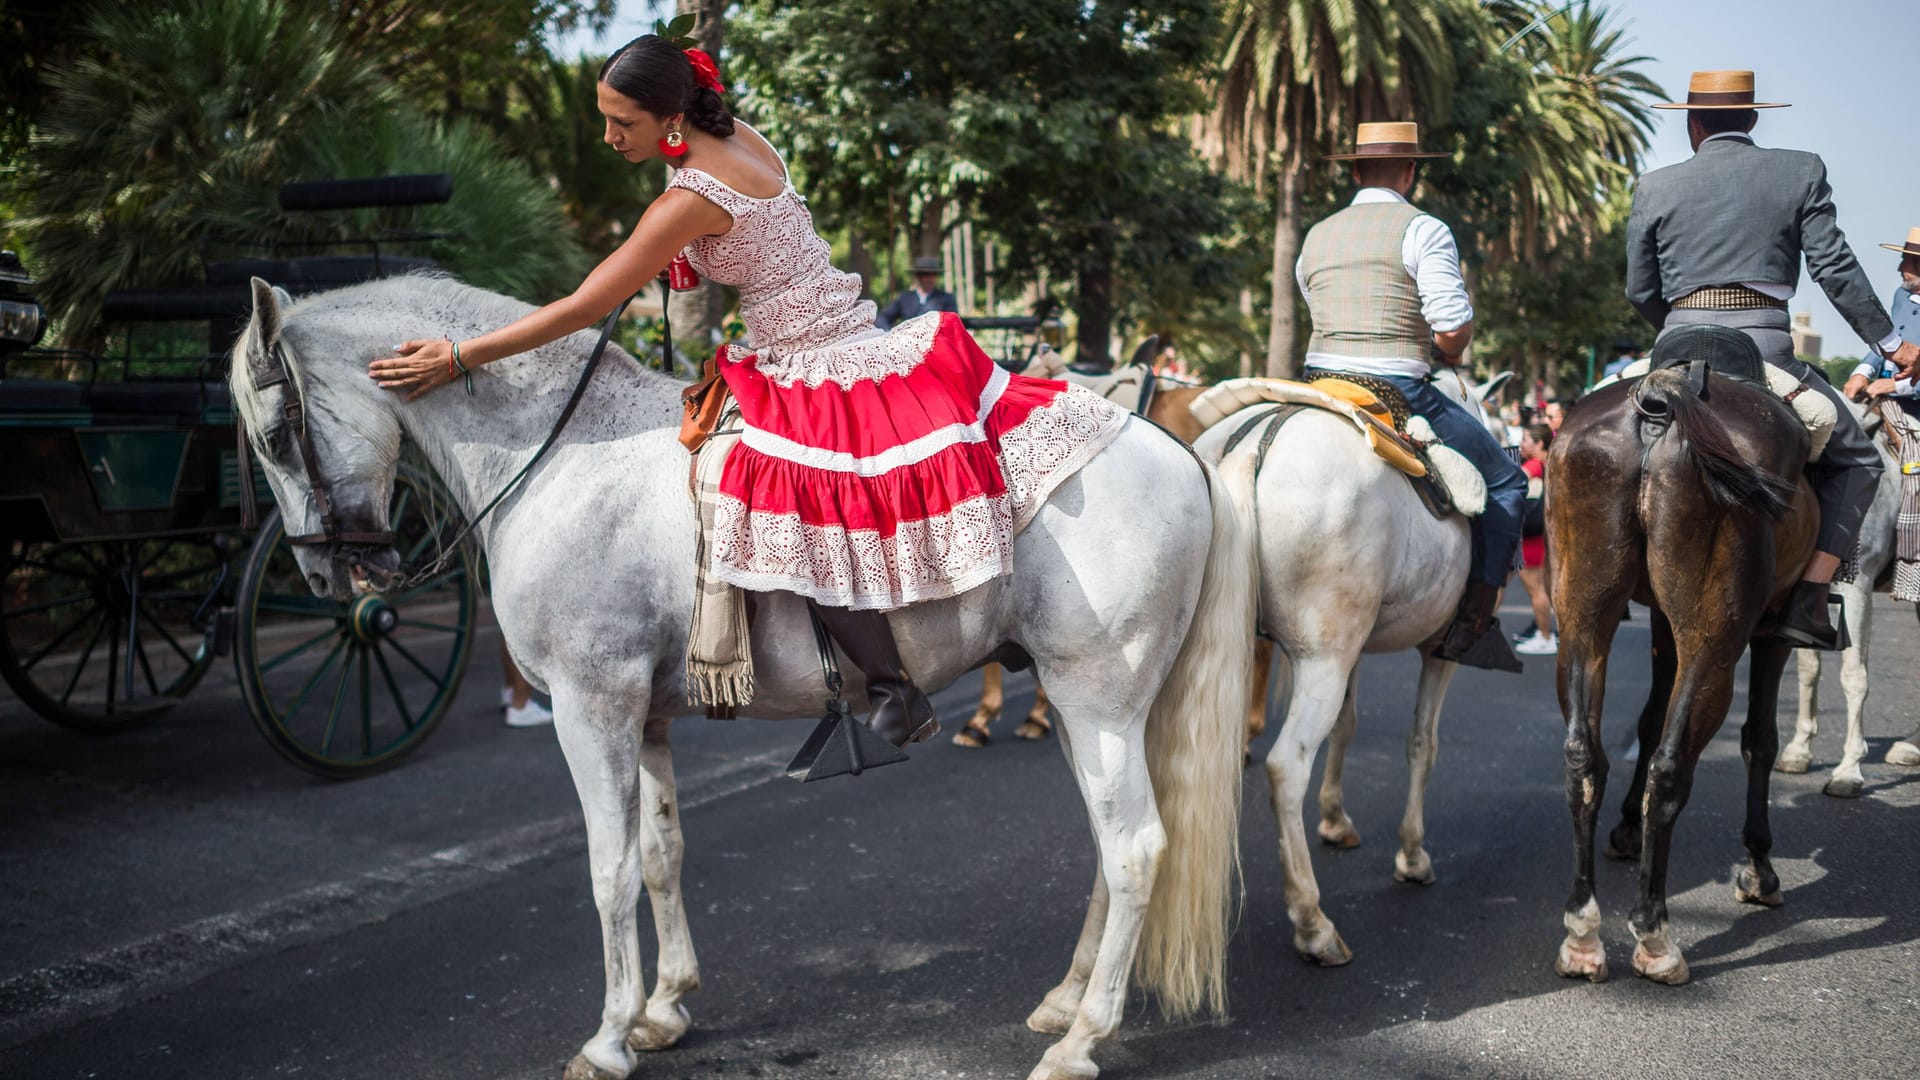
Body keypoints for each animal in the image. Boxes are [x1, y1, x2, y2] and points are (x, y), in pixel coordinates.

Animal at [228, 274, 1259, 1076]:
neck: (562, 457)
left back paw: (1083, 1039)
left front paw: (609, 1038)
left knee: (1134, 850)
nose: (328, 575)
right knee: (1108, 847)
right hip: (1091, 707)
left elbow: (607, 870)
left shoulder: (590, 710)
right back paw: (1067, 1002)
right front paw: (665, 1007)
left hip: (1098, 699)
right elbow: (660, 853)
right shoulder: (641, 717)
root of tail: (1178, 447)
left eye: (275, 437)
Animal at [1182, 367, 1497, 957]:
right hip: (1323, 660)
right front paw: (1412, 855)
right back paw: (1312, 922)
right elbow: (1422, 743)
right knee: (1286, 768)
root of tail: (1254, 441)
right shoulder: (1436, 652)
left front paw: (1334, 819)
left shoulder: (1353, 650)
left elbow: (1346, 727)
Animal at [1543, 353, 1812, 983]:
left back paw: (1583, 931)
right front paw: (1759, 868)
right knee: (1672, 765)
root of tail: (1663, 401)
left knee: (1583, 755)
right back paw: (1655, 933)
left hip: (1583, 616)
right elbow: (1759, 738)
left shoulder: (1662, 626)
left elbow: (1646, 722)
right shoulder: (1772, 630)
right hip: (1715, 639)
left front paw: (1625, 827)